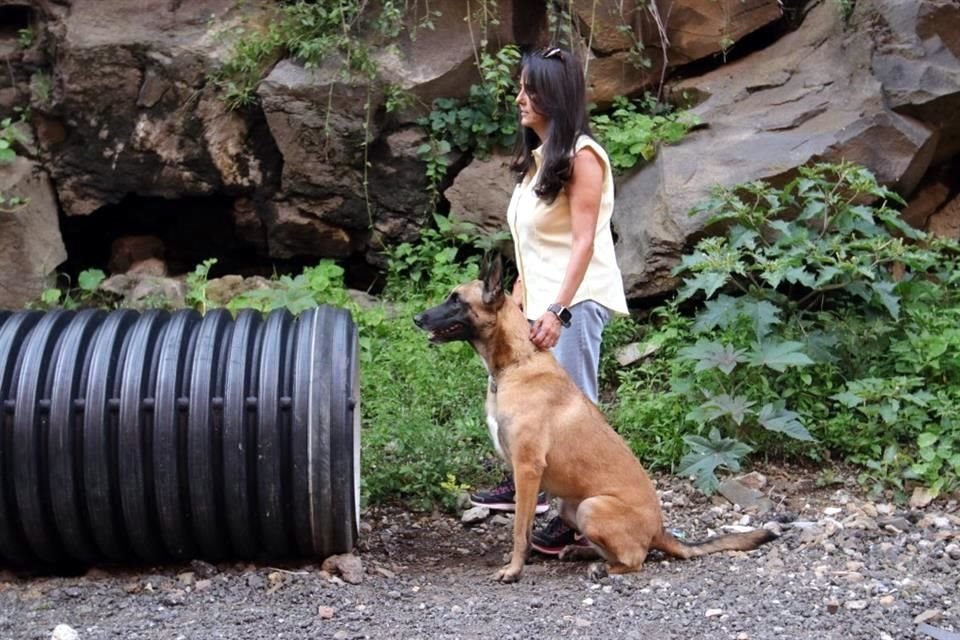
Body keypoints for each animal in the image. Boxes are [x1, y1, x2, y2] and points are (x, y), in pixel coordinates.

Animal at [408, 254, 776, 580]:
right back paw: (579, 552)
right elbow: (523, 528)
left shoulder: (527, 469)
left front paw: (514, 570)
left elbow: (519, 531)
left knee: (636, 558)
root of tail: (660, 530)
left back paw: (603, 568)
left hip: (592, 507)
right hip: (571, 507)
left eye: (456, 301)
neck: (517, 364)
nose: (416, 319)